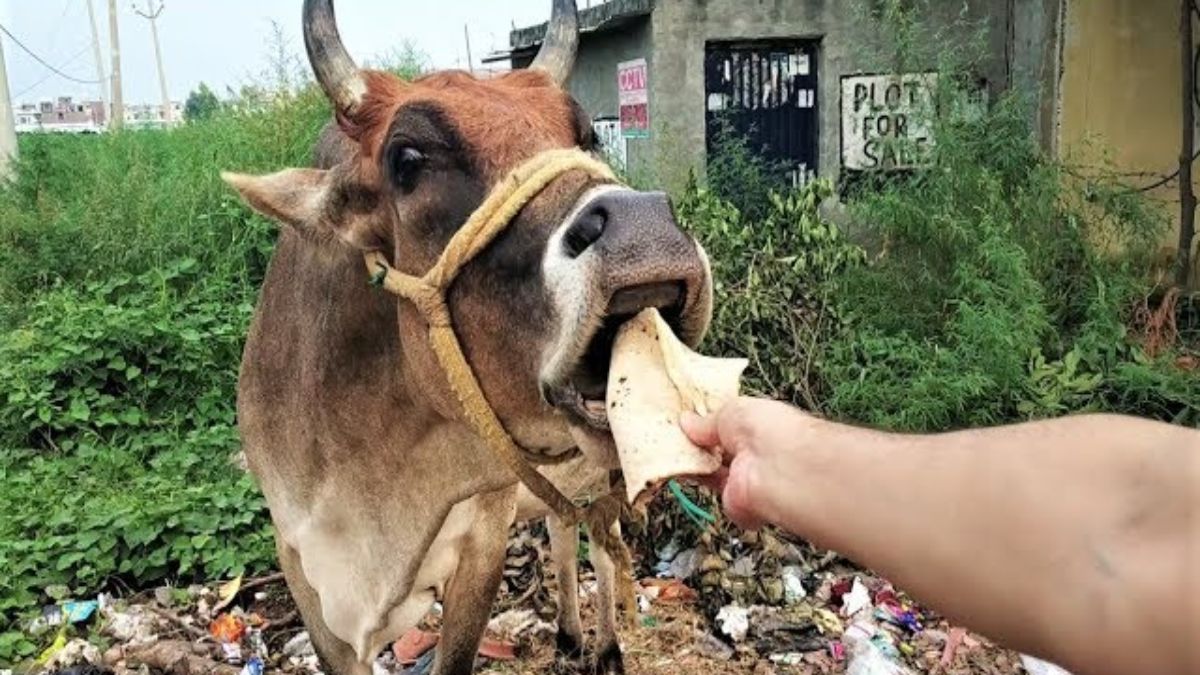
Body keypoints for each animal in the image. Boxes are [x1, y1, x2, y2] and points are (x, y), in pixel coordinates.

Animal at [221, 1, 714, 674]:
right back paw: (568, 633)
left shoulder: (483, 538)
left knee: (602, 540)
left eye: (585, 136)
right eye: (406, 159)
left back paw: (607, 646)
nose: (645, 231)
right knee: (565, 529)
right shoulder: (301, 564)